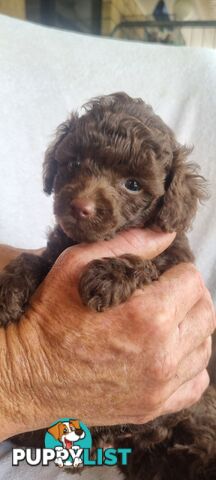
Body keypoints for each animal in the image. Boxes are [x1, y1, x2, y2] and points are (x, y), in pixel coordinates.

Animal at [0, 92, 216, 478]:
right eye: (75, 163)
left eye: (133, 184)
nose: (81, 207)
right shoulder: (57, 250)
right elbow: (33, 260)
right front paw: (8, 289)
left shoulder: (173, 258)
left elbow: (147, 263)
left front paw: (108, 276)